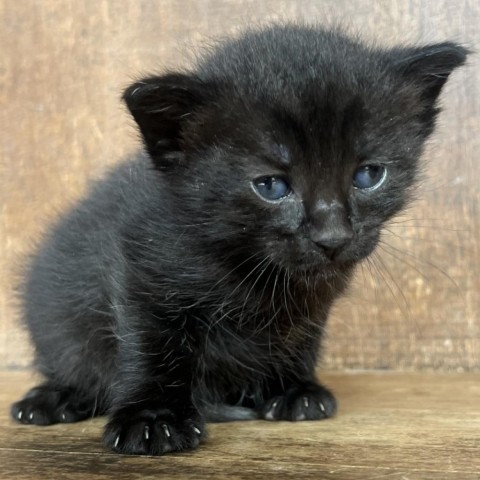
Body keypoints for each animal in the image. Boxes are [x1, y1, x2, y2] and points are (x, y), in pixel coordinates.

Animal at [12, 24, 468, 456]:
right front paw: (153, 418)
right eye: (270, 185)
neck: (250, 268)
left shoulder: (313, 303)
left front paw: (293, 390)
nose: (332, 236)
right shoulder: (140, 273)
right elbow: (151, 347)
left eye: (369, 175)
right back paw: (52, 400)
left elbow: (302, 337)